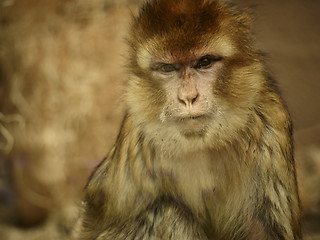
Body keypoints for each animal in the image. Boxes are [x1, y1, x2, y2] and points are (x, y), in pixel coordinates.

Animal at [78, 0, 302, 239]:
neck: (203, 144)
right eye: (167, 68)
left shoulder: (270, 124)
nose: (188, 97)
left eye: (204, 62)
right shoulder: (137, 139)